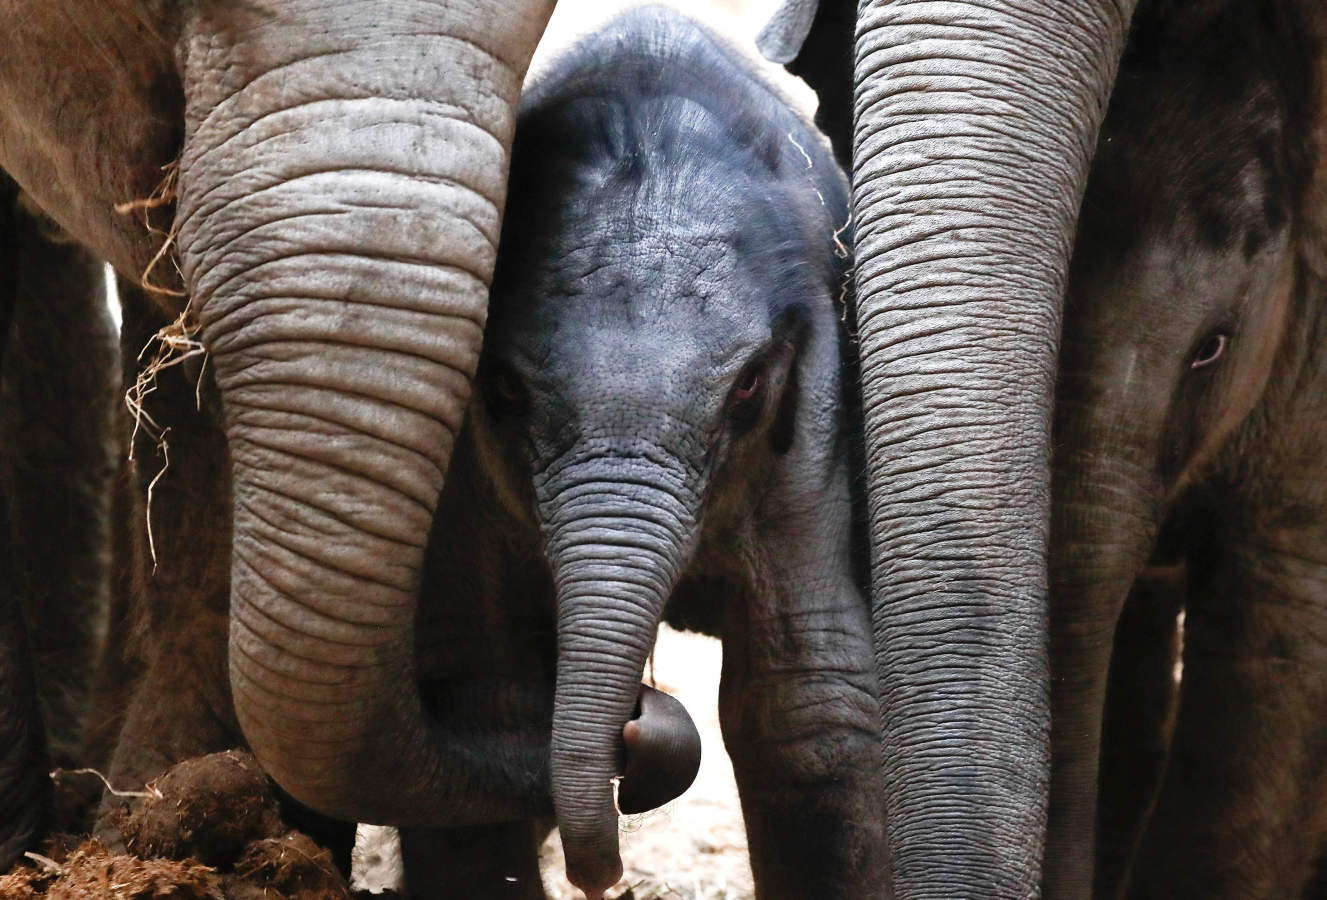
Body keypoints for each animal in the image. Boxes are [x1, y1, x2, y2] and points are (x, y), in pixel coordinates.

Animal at [414, 7, 886, 900]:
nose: (637, 725)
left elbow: (807, 703)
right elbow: (481, 682)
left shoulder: (815, 419)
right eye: (503, 389)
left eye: (747, 387)